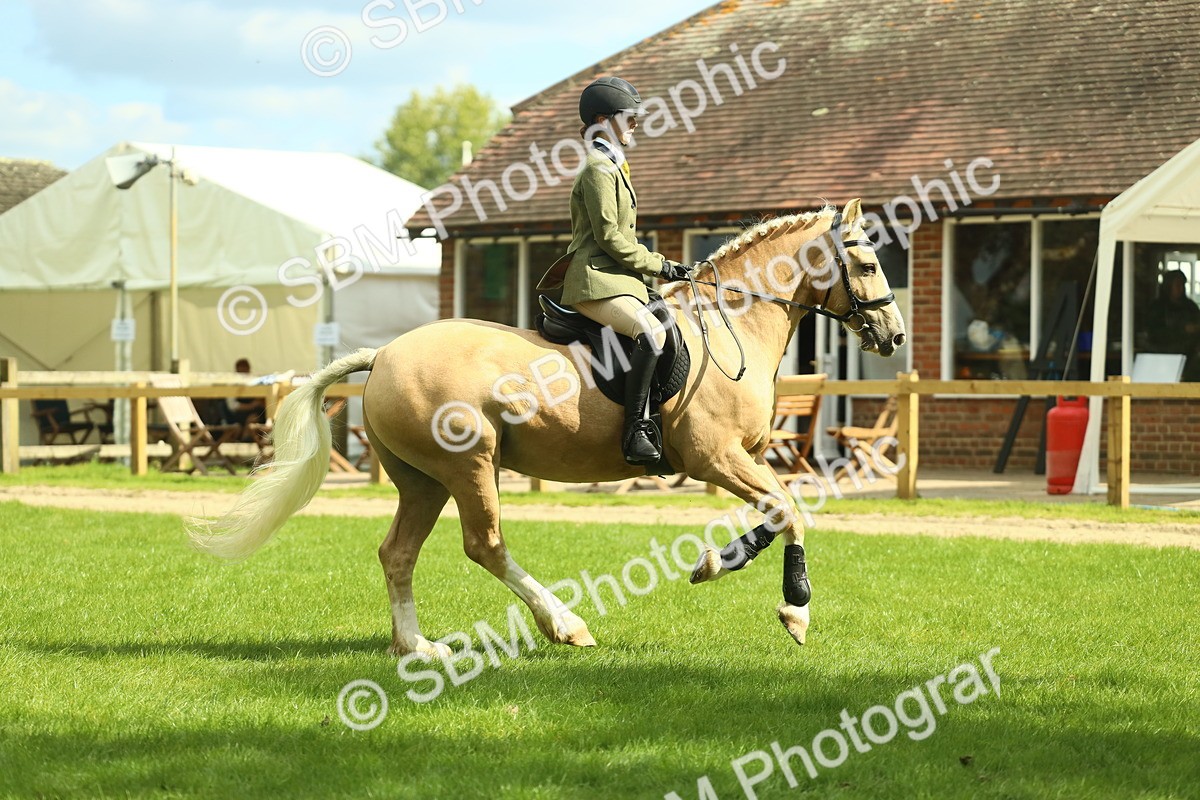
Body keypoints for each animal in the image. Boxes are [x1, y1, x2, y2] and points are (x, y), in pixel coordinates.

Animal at [187, 198, 906, 656]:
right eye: (869, 264)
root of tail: (385, 354)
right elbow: (789, 510)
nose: (894, 337)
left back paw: (418, 647)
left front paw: (712, 564)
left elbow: (778, 511)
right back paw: (564, 625)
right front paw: (795, 610)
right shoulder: (715, 457)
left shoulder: (745, 457)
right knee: (485, 545)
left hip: (423, 481)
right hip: (469, 464)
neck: (732, 325)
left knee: (398, 553)